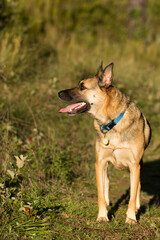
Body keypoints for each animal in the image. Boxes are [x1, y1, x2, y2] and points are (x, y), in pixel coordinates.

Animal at [57, 62, 151, 225]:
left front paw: (131, 218)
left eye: (82, 86)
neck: (112, 123)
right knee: (106, 183)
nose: (59, 93)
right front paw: (102, 216)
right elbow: (101, 193)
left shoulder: (134, 165)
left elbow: (133, 195)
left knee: (137, 187)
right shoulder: (100, 162)